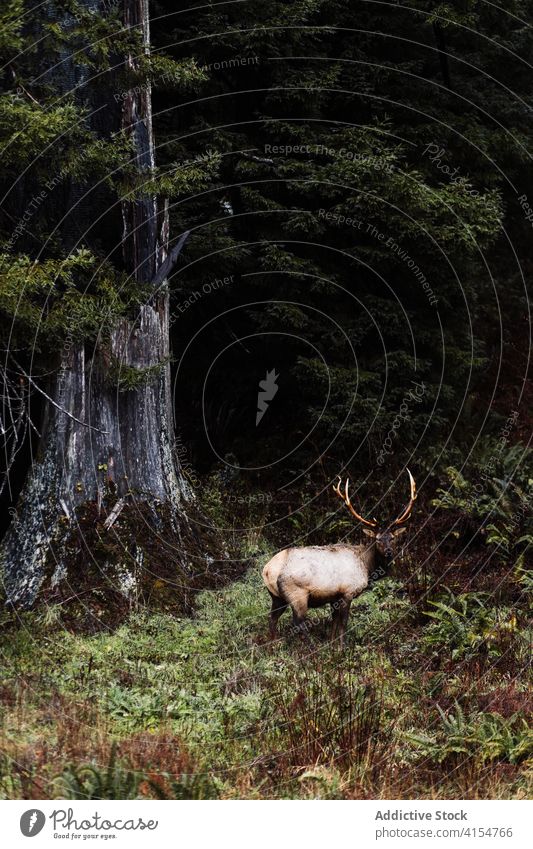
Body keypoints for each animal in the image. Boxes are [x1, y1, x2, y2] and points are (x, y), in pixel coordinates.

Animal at [262, 470, 416, 644]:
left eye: (393, 538)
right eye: (377, 539)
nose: (389, 552)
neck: (367, 567)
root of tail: (268, 570)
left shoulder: (334, 597)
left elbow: (334, 623)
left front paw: (331, 644)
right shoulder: (347, 592)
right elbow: (343, 623)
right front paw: (342, 647)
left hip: (276, 596)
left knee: (272, 619)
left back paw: (272, 645)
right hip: (297, 594)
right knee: (298, 623)